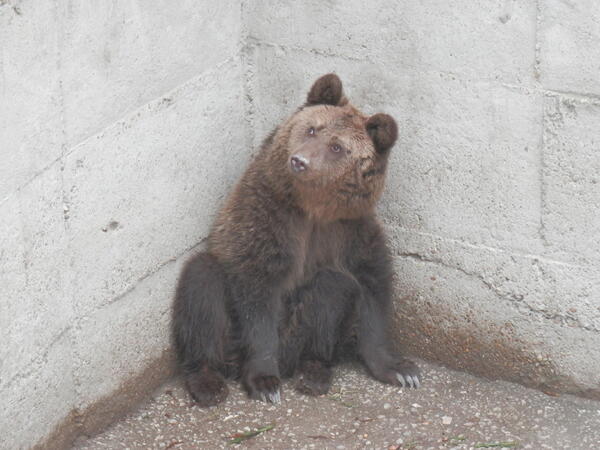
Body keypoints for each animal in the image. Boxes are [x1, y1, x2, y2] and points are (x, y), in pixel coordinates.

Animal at [171, 73, 420, 404]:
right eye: (312, 128)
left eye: (337, 147)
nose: (300, 161)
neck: (312, 210)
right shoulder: (265, 220)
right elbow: (257, 295)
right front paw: (264, 382)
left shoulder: (349, 231)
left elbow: (372, 287)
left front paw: (401, 369)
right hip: (231, 338)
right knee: (202, 282)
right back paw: (207, 381)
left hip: (297, 332)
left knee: (332, 285)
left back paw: (314, 372)